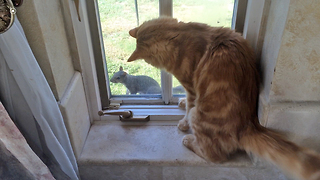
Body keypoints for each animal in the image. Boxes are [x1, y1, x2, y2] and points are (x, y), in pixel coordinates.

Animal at [127, 16, 320, 180]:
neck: (181, 35)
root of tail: (249, 124)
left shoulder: (191, 87)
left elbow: (189, 106)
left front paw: (183, 123)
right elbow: (186, 102)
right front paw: (180, 102)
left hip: (199, 116)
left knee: (214, 156)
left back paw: (189, 140)